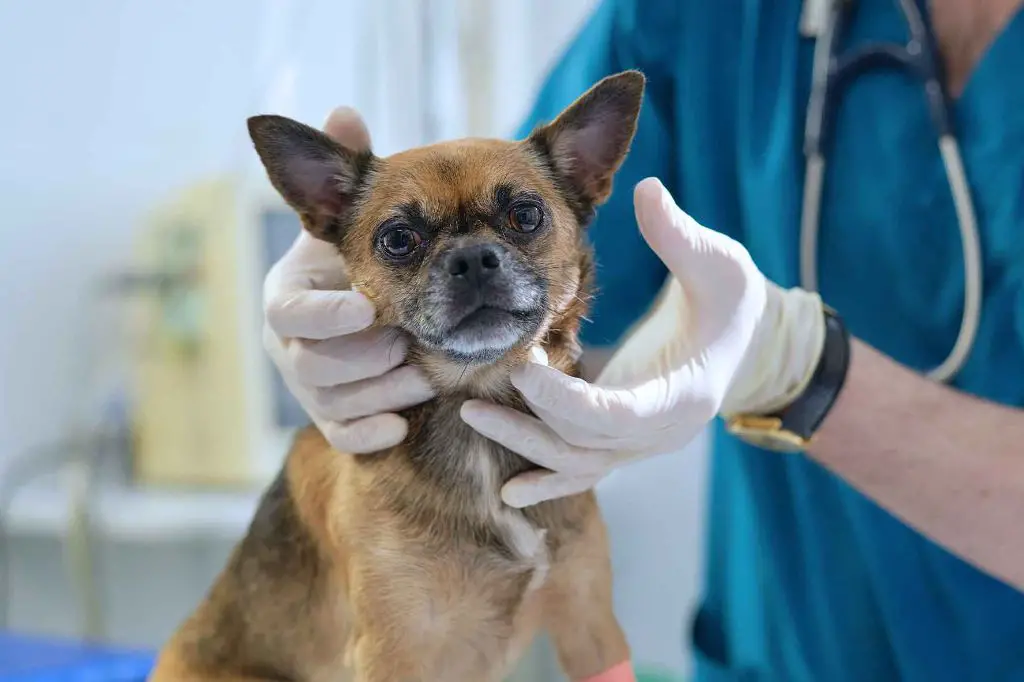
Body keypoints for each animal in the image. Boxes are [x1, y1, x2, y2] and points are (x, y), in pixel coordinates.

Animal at [148, 70, 643, 679]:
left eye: (526, 216)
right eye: (398, 238)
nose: (473, 258)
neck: (471, 413)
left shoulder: (590, 623)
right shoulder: (396, 650)